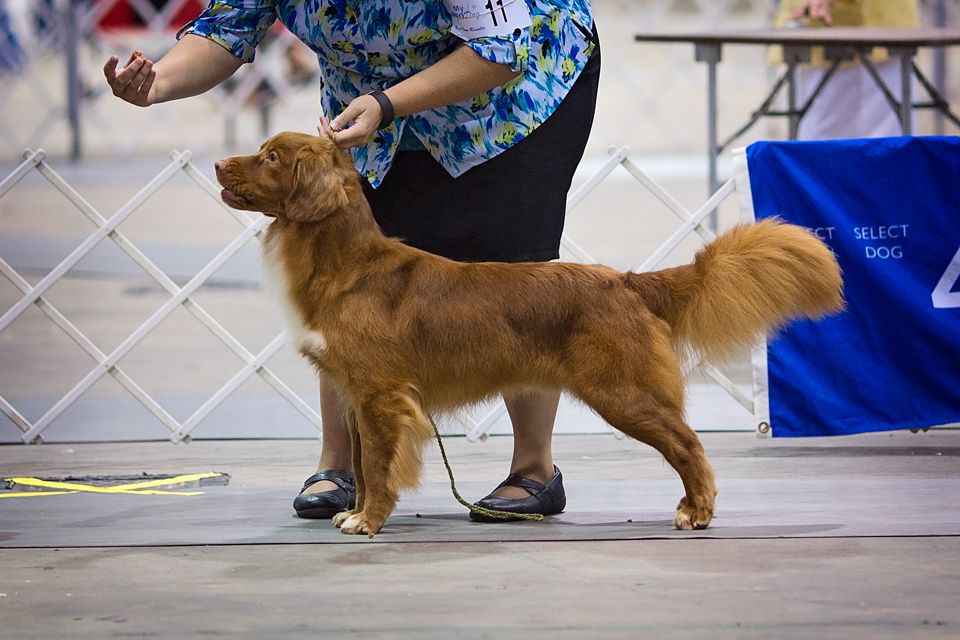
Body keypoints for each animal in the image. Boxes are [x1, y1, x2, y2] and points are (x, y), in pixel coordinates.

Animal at [214, 134, 844, 536]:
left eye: (270, 156)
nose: (219, 164)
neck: (346, 265)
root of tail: (627, 282)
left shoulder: (381, 396)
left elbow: (382, 467)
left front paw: (369, 522)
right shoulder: (354, 395)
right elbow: (366, 467)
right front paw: (355, 511)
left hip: (622, 391)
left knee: (689, 445)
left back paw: (697, 512)